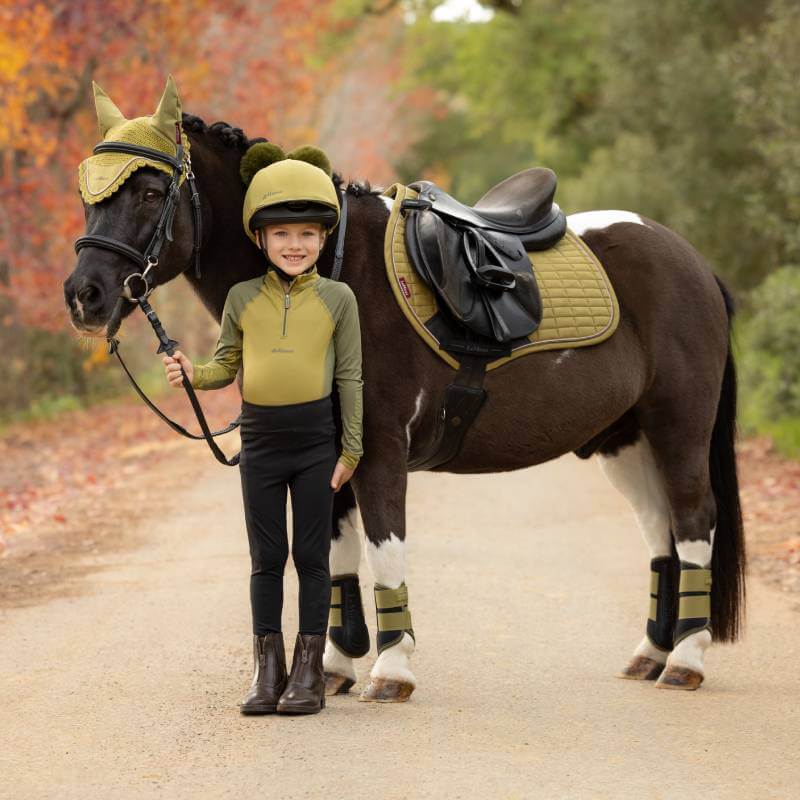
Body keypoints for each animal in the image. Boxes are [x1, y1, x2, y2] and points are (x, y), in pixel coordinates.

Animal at [64, 110, 745, 702]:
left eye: (151, 192)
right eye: (89, 193)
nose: (83, 295)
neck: (330, 272)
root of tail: (694, 263)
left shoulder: (380, 453)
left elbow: (384, 548)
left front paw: (391, 669)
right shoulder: (331, 460)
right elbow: (334, 554)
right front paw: (335, 666)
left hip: (678, 427)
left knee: (693, 520)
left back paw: (686, 659)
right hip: (624, 441)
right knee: (660, 528)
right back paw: (653, 653)